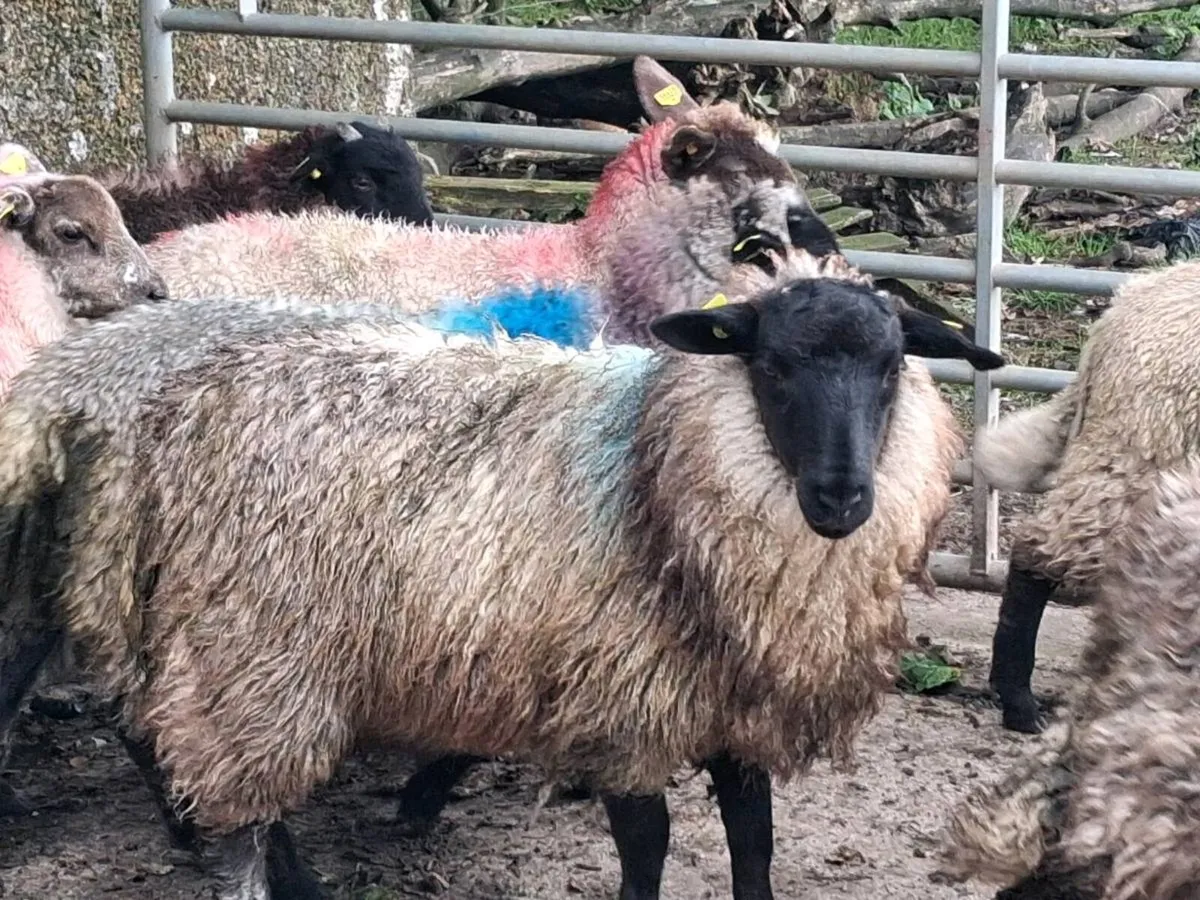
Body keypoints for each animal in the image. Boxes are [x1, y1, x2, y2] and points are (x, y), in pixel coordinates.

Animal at [0, 250, 985, 899]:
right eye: (773, 366)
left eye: (892, 367)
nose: (842, 497)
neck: (654, 463)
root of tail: (77, 374)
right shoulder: (616, 702)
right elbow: (649, 845)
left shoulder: (726, 703)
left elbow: (754, 842)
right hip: (247, 646)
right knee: (224, 783)